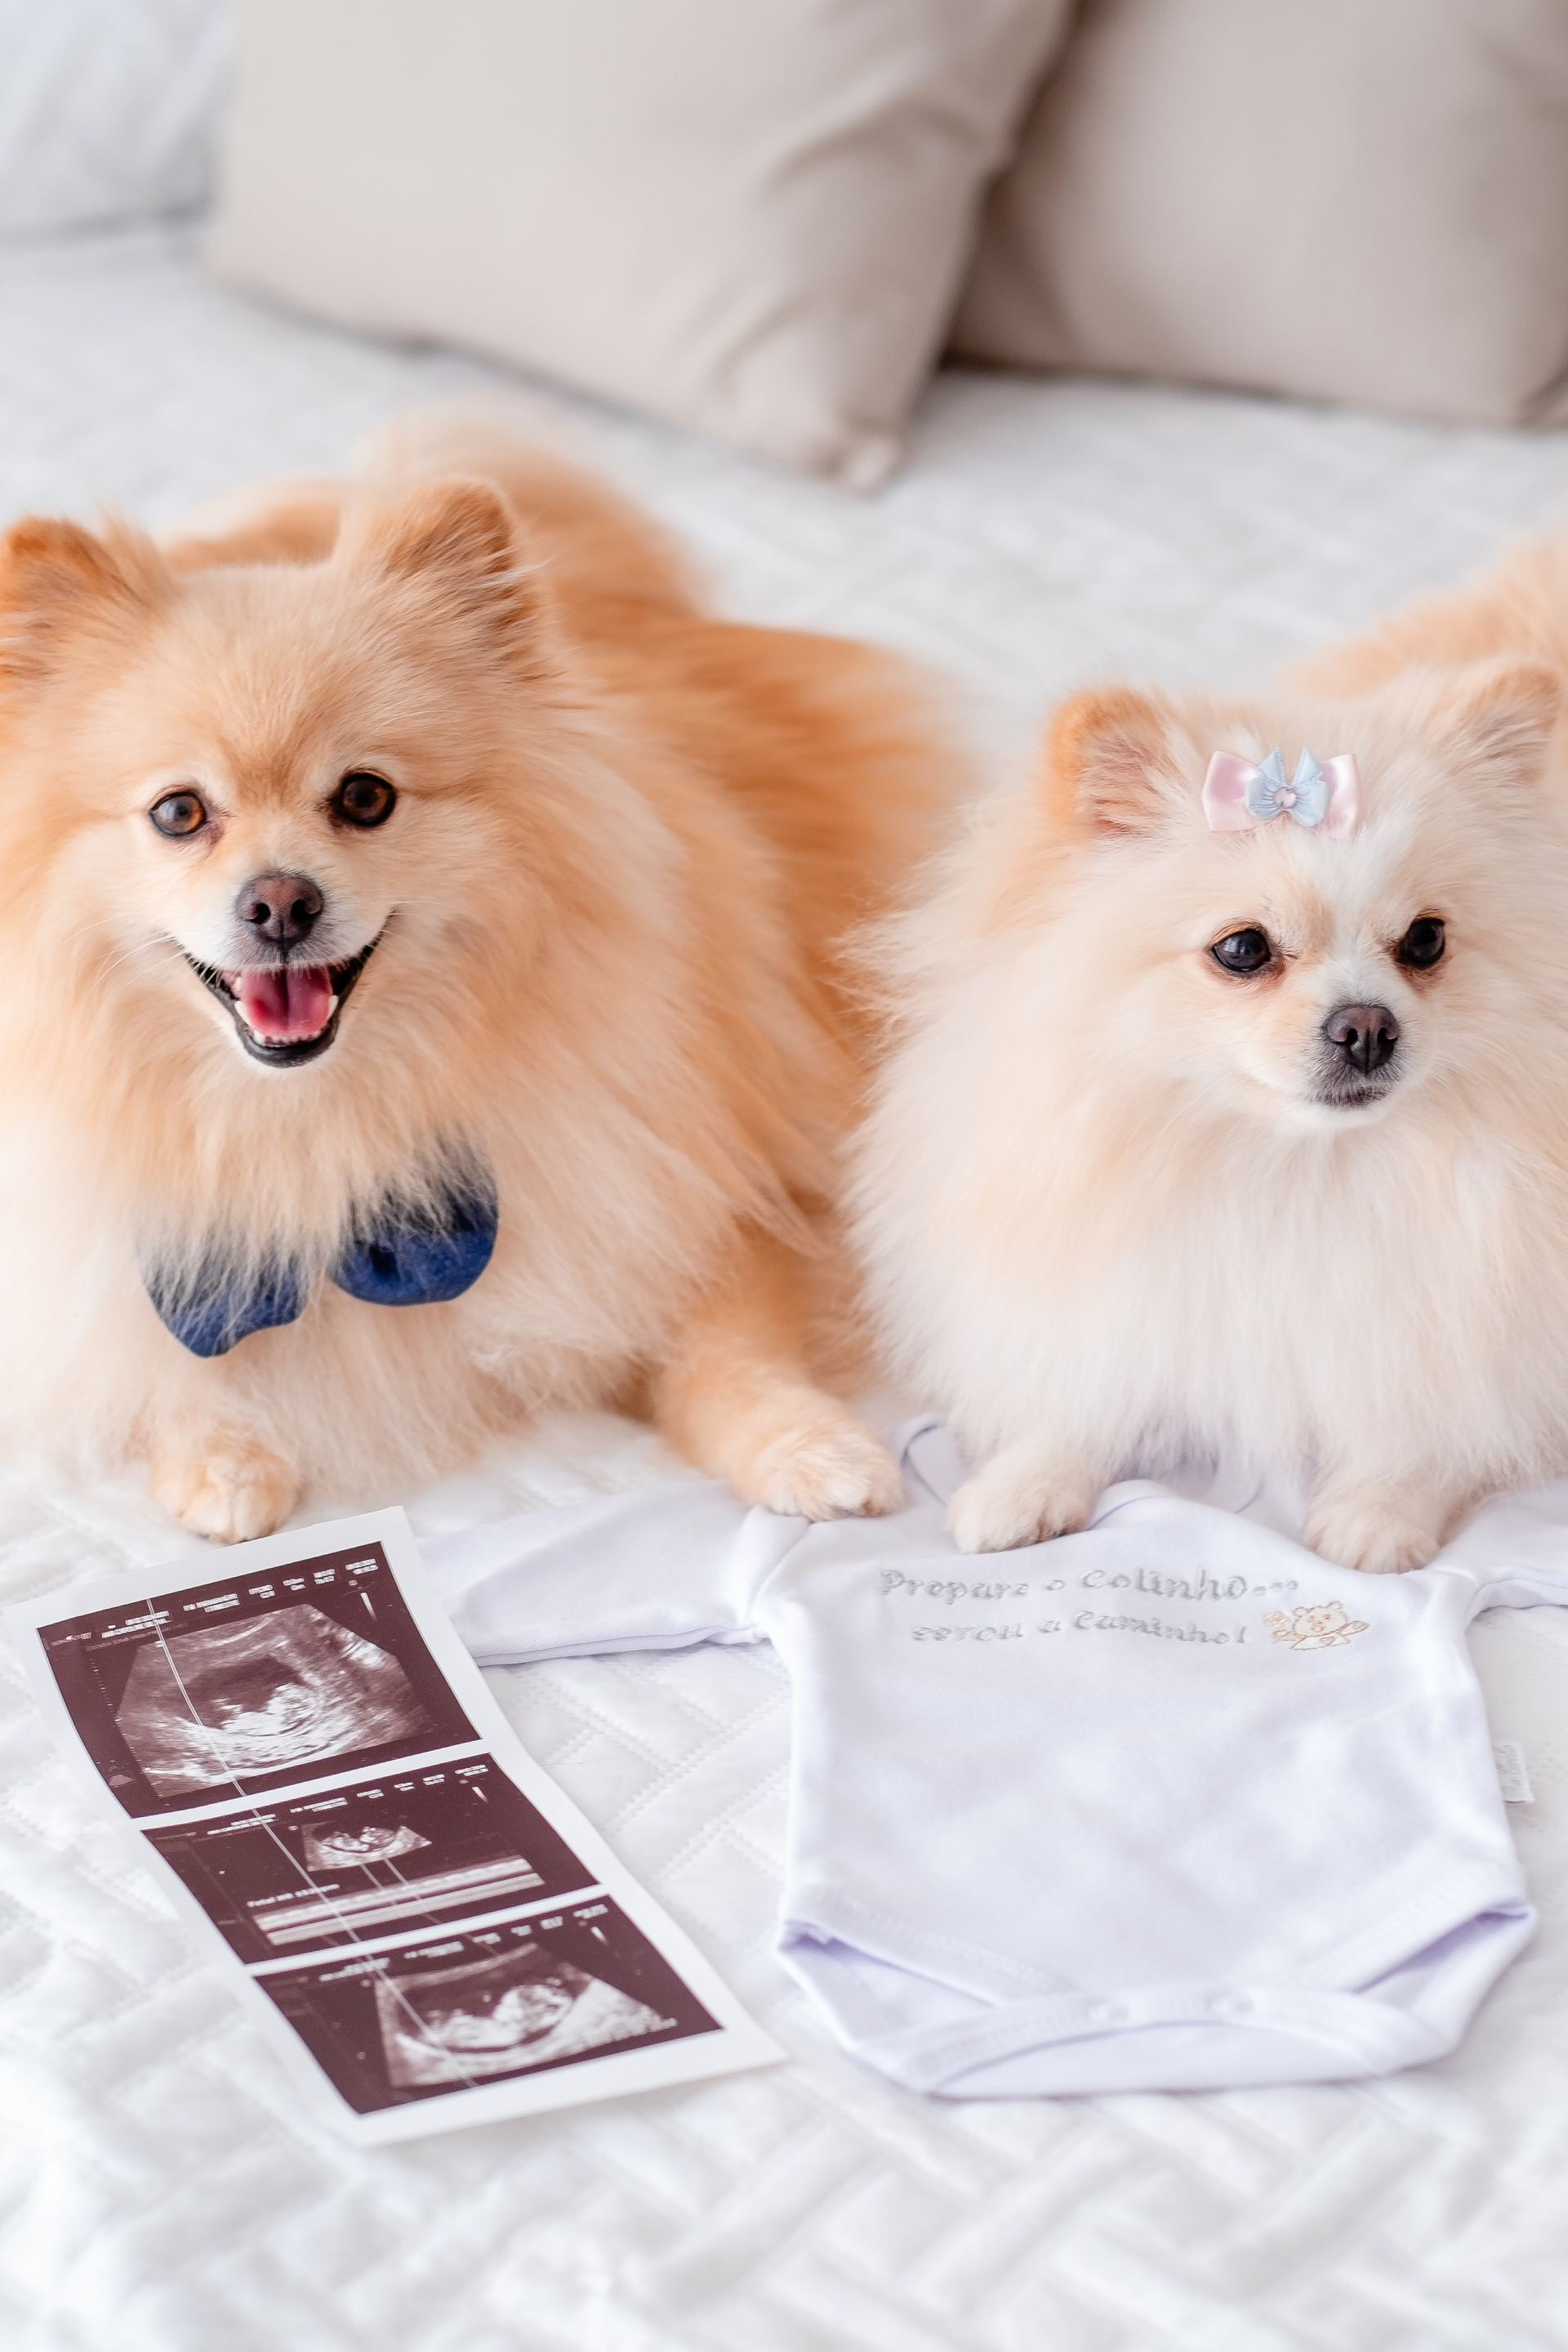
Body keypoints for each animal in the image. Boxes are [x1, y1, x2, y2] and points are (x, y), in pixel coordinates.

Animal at [0, 407, 962, 1537]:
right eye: (179, 812)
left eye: (364, 797)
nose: (281, 902)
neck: (326, 1116)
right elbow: (156, 1354)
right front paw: (224, 1459)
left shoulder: (697, 1185)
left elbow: (727, 1348)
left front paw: (809, 1447)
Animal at [848, 657, 1568, 1571]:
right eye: (1244, 949)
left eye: (1426, 940)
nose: (1368, 1026)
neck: (1293, 1171)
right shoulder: (1126, 1295)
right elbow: (1087, 1391)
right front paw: (1023, 1483)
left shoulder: (1470, 1327)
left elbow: (1431, 1419)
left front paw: (1379, 1509)